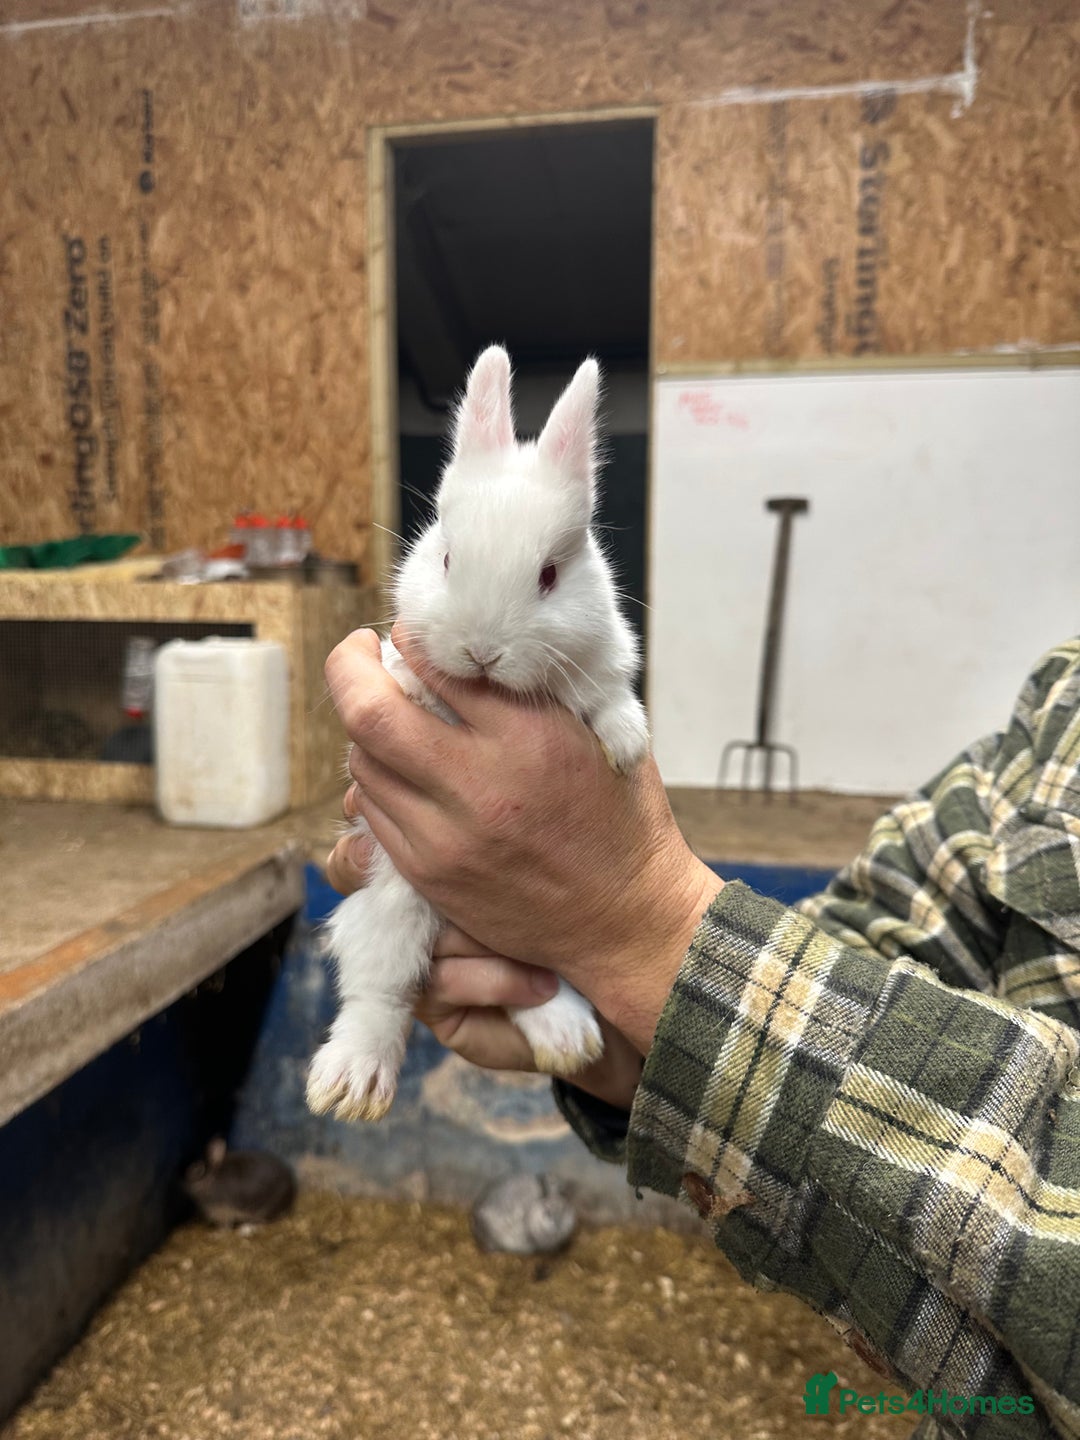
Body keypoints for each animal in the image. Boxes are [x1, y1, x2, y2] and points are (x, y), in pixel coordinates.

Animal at [306, 345, 650, 1124]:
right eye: (446, 559)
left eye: (550, 574)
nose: (482, 652)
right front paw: (411, 685)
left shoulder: (604, 654)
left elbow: (609, 695)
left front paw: (624, 744)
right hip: (389, 914)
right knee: (378, 996)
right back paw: (351, 1081)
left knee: (539, 982)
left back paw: (569, 1037)